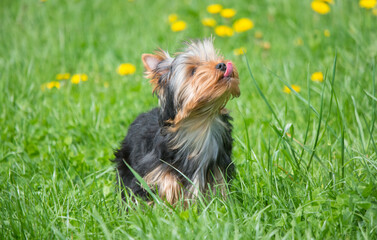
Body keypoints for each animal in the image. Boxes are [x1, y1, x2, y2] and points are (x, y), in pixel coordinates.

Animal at [113, 39, 239, 204]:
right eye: (193, 71)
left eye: (216, 58)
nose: (222, 65)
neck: (200, 121)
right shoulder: (151, 164)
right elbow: (162, 176)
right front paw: (170, 196)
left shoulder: (219, 162)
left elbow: (219, 184)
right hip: (125, 161)